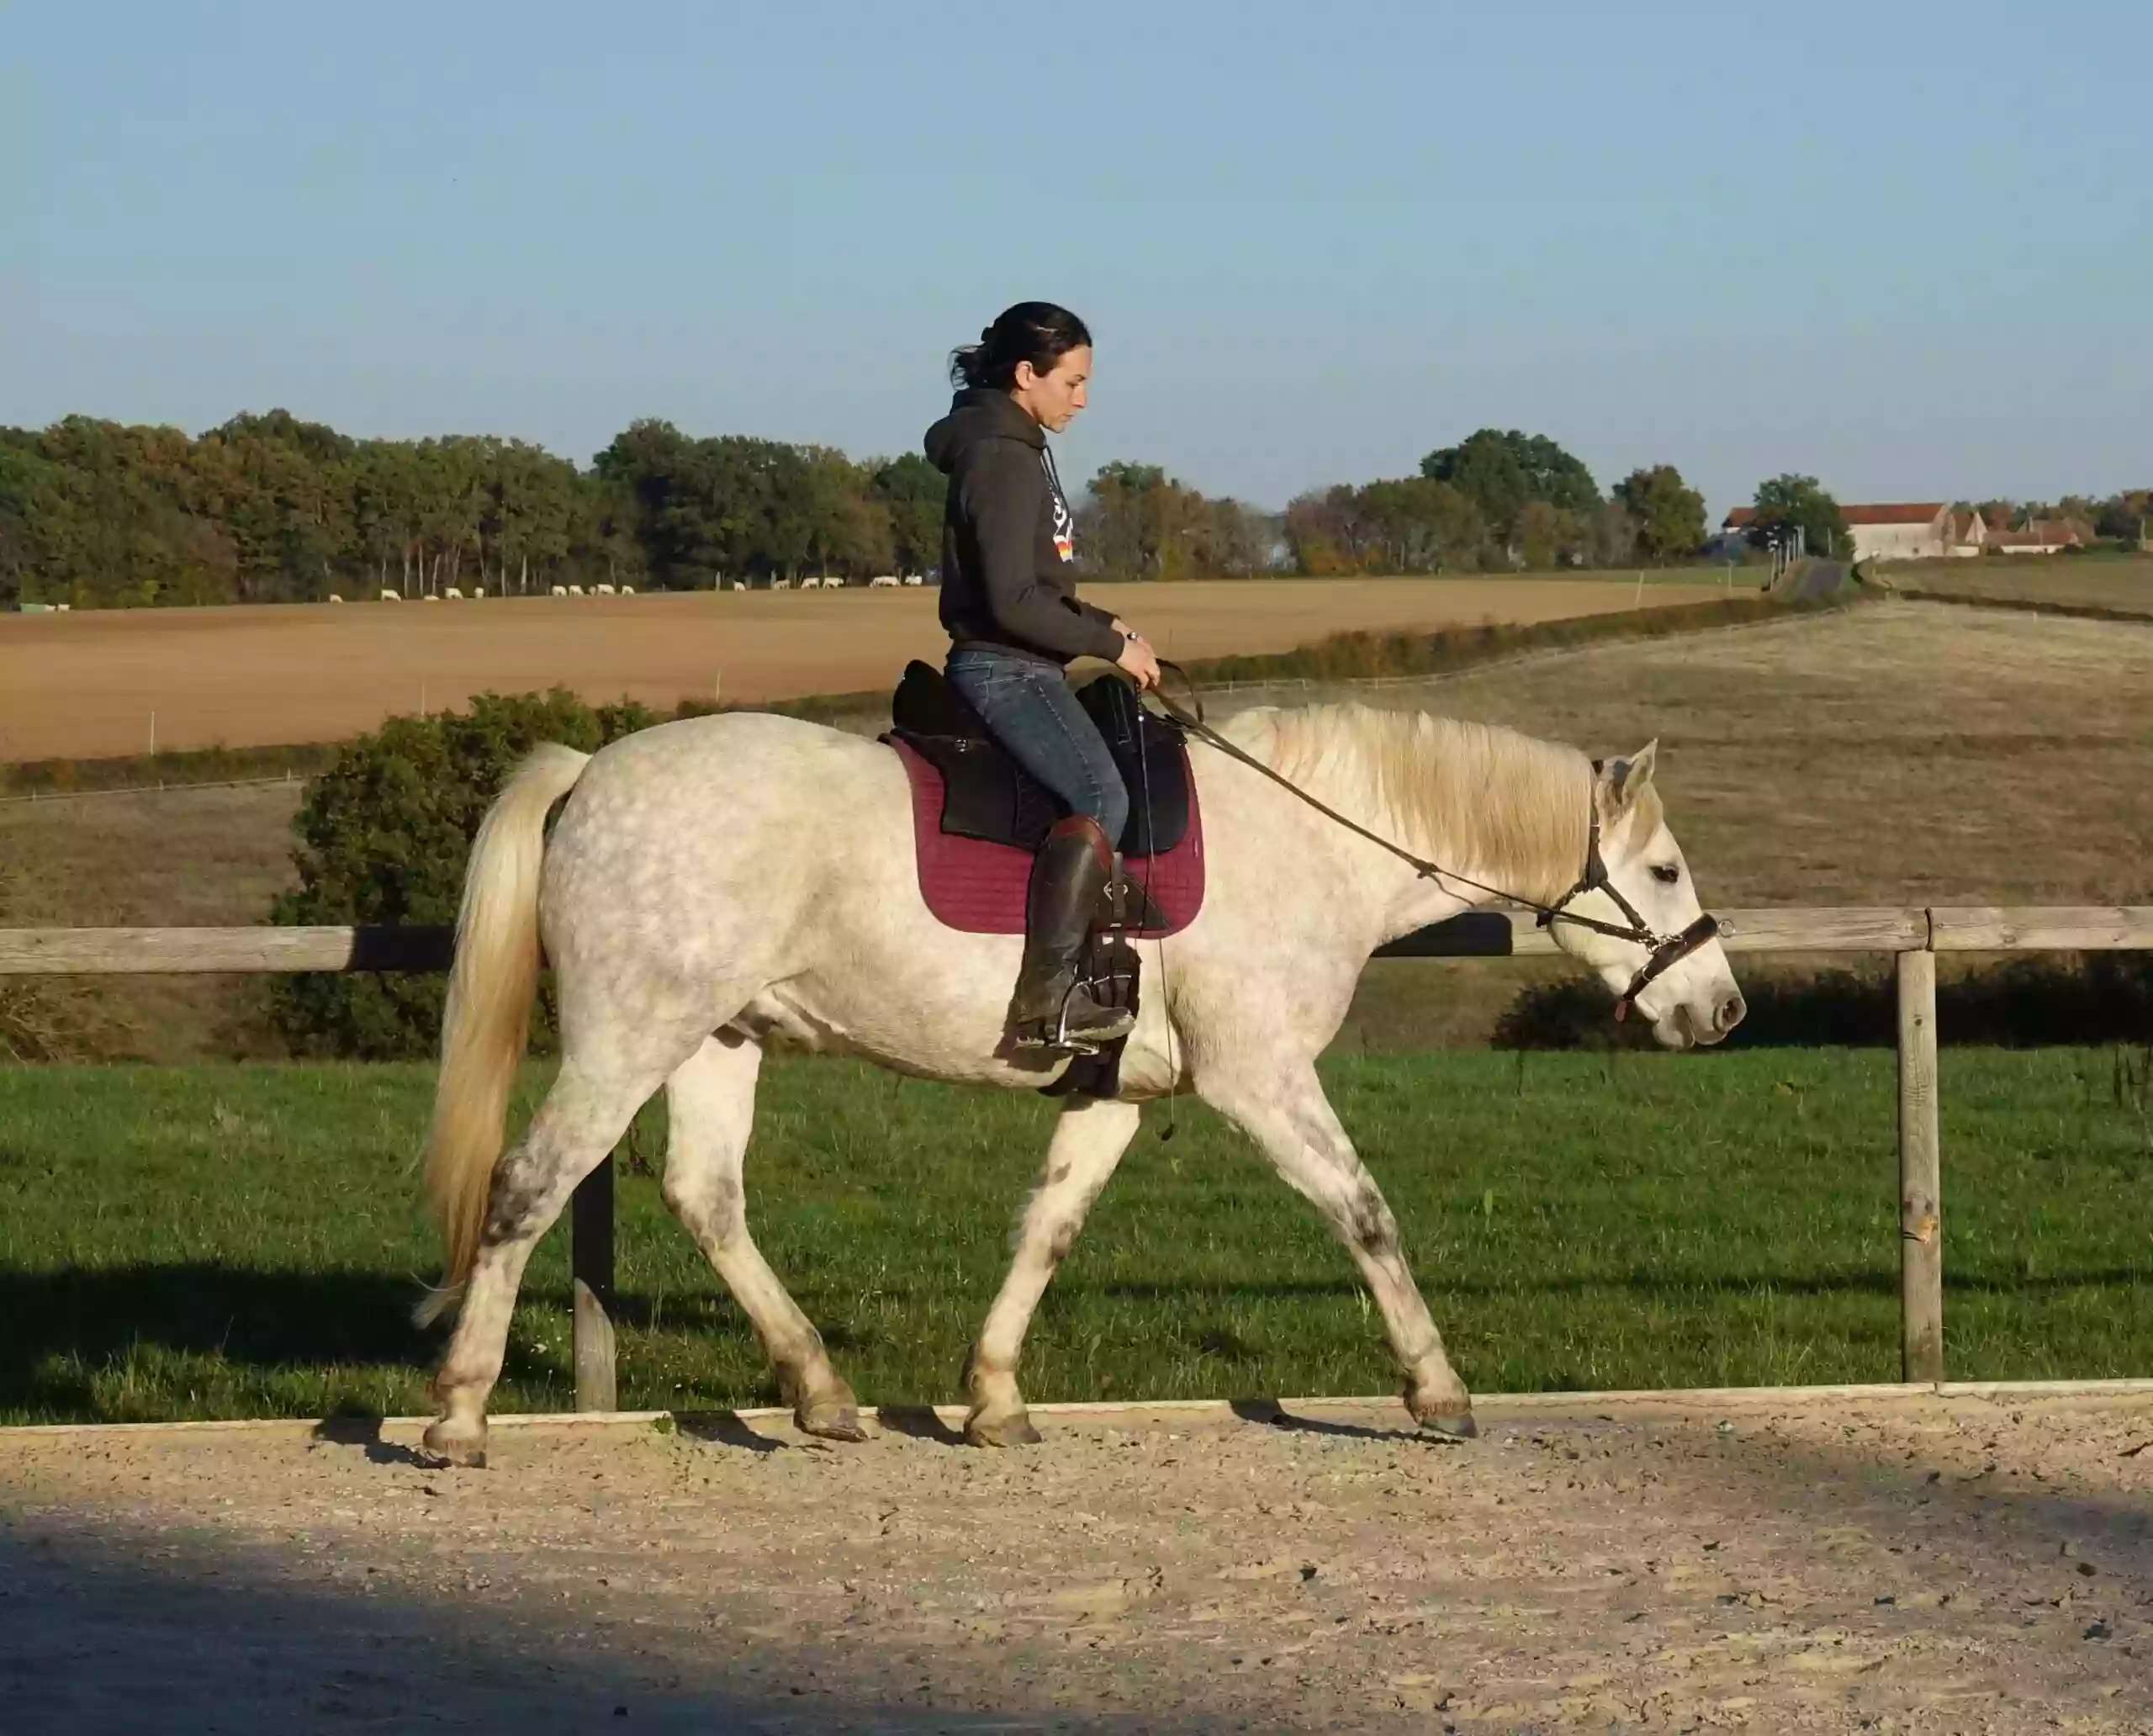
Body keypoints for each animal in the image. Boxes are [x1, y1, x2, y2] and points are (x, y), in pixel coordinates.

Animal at [410, 701, 1739, 1464]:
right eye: (1666, 871)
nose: (1722, 1010)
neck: (1312, 837)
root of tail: (590, 773)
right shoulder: (1262, 1079)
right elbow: (1364, 1214)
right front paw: (1438, 1390)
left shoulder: (1116, 1095)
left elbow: (1047, 1230)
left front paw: (992, 1400)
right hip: (629, 1036)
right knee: (528, 1187)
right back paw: (461, 1413)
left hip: (716, 1038)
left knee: (705, 1196)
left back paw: (823, 1393)